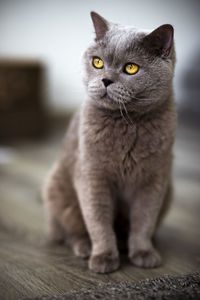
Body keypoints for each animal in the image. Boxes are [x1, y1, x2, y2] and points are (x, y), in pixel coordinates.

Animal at [43, 11, 176, 274]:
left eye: (131, 68)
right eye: (97, 62)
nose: (105, 80)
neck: (128, 123)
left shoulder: (154, 180)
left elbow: (144, 220)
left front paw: (143, 253)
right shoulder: (92, 176)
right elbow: (98, 220)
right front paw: (104, 257)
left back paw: (126, 243)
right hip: (55, 188)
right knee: (69, 230)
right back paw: (85, 247)